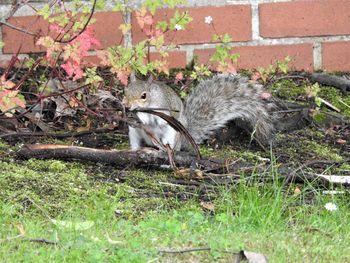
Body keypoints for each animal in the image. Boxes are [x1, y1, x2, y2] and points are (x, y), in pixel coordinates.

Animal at [122, 75, 274, 152]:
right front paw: (134, 117)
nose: (127, 105)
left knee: (172, 148)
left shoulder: (165, 108)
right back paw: (133, 150)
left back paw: (164, 150)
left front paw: (144, 118)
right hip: (133, 134)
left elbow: (159, 119)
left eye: (144, 96)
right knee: (136, 141)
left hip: (172, 135)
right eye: (125, 91)